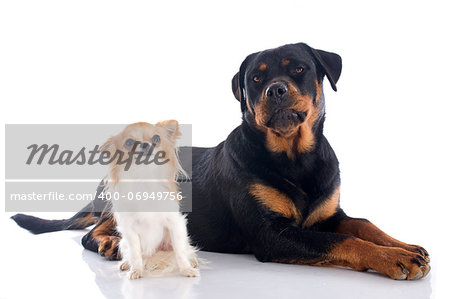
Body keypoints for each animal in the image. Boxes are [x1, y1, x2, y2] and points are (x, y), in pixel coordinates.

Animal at [102, 120, 200, 280]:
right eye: (129, 142)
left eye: (156, 138)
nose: (145, 144)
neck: (144, 179)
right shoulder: (129, 230)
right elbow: (135, 253)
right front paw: (136, 270)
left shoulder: (175, 223)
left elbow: (179, 251)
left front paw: (186, 269)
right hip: (123, 242)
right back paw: (126, 264)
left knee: (185, 250)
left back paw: (192, 261)